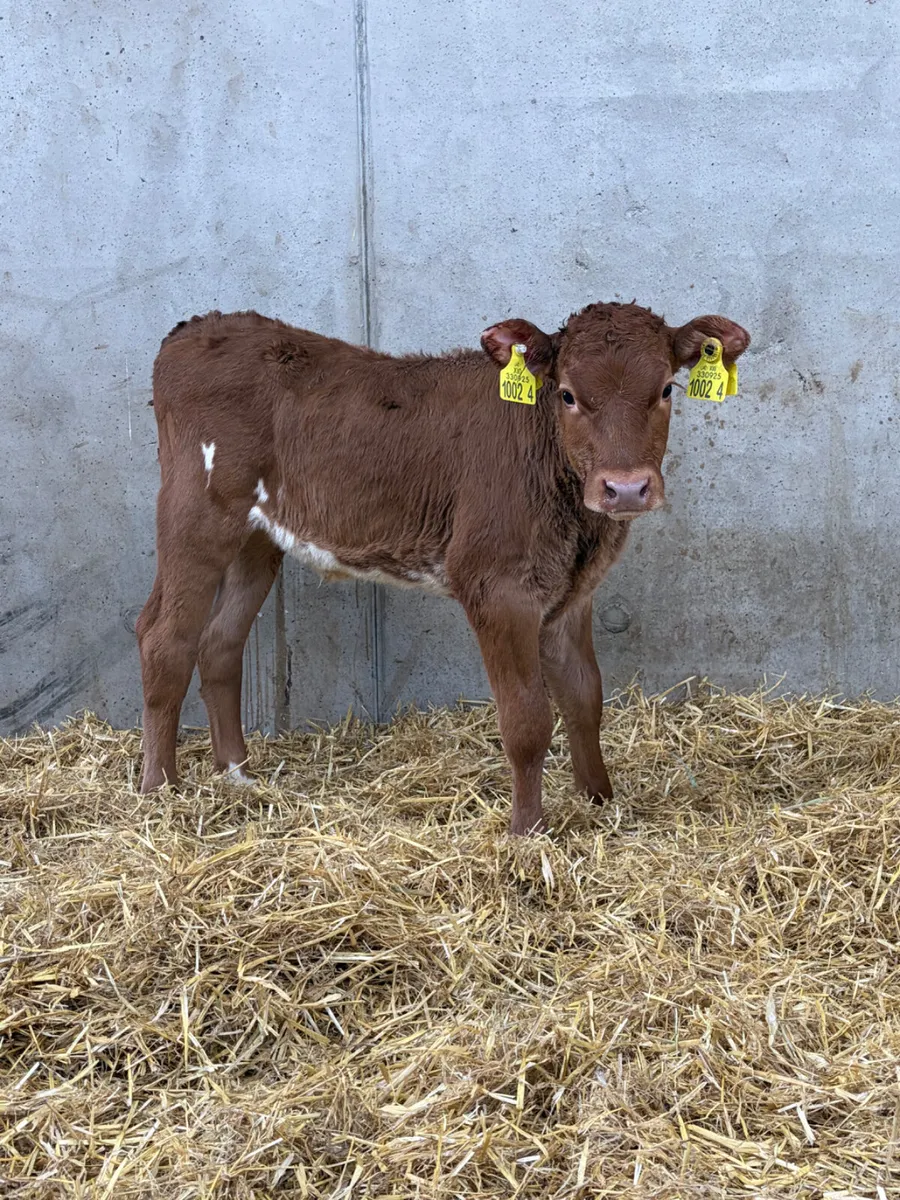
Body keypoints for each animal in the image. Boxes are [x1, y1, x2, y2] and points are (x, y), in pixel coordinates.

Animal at [137, 302, 749, 834]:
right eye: (569, 395)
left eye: (666, 388)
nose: (625, 488)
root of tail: (198, 326)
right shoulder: (496, 585)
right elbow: (526, 719)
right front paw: (528, 832)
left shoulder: (571, 592)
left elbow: (585, 697)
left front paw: (599, 800)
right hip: (197, 512)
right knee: (164, 639)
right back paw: (159, 791)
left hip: (257, 537)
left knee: (219, 641)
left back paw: (237, 775)